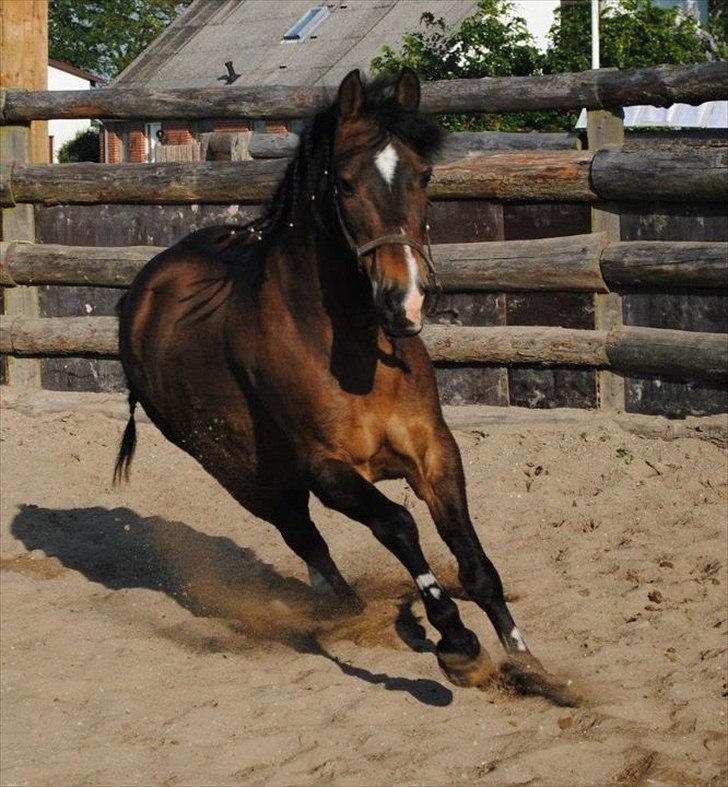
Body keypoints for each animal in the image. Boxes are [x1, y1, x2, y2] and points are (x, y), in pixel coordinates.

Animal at [115, 69, 576, 708]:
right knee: (302, 536)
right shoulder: (328, 469)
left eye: (424, 176)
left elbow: (473, 559)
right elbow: (399, 526)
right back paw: (349, 613)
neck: (353, 350)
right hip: (246, 473)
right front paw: (458, 644)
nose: (406, 299)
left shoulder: (435, 450)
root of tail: (137, 298)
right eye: (349, 183)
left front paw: (528, 665)